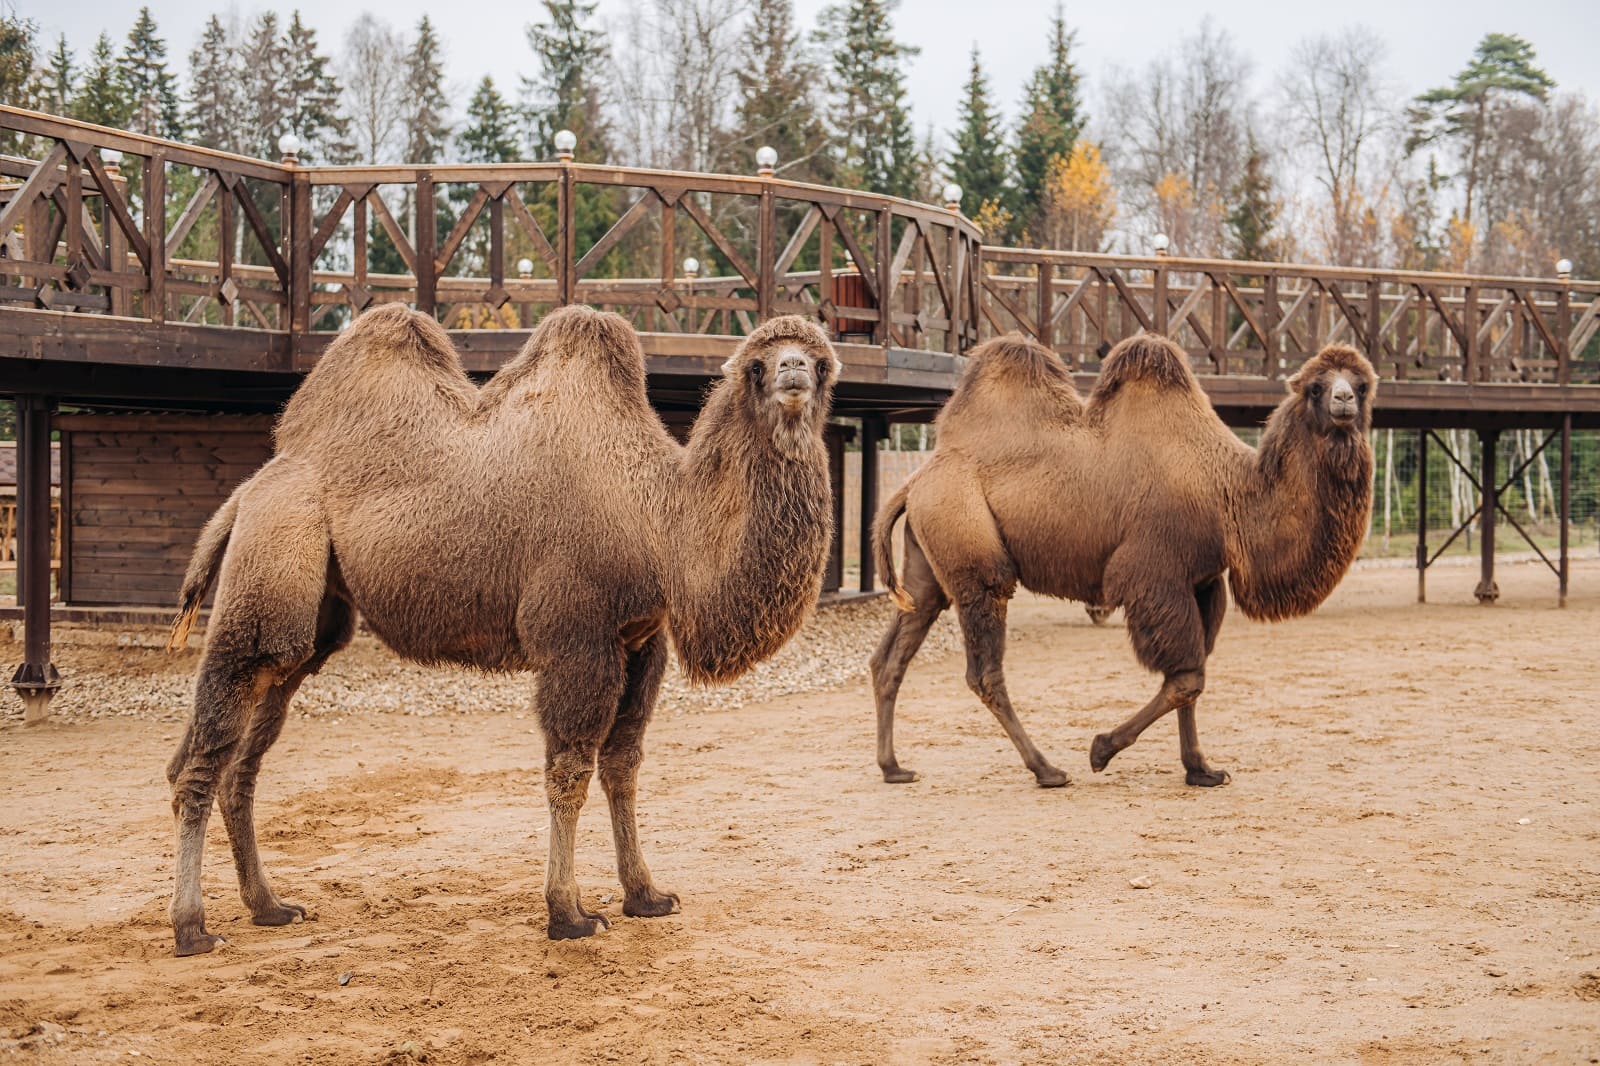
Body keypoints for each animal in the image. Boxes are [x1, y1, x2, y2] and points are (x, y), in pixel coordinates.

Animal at [160, 300, 838, 953]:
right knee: (206, 749)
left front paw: (645, 896)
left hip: (315, 613)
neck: (658, 520)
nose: (793, 372)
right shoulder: (576, 637)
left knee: (241, 752)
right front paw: (568, 914)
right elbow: (569, 772)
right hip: (275, 555)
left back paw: (269, 907)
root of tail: (249, 488)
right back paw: (192, 929)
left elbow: (623, 765)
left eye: (820, 362)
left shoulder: (640, 644)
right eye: (759, 365)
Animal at [876, 332, 1376, 787]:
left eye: (1362, 383)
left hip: (927, 565)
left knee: (892, 653)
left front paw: (1201, 769)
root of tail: (916, 480)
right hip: (972, 551)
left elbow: (1191, 675)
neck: (1226, 493)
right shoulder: (1154, 574)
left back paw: (893, 767)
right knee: (984, 669)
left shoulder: (1204, 582)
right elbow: (1187, 678)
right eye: (1316, 387)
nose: (1344, 400)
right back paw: (1047, 770)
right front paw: (1101, 750)